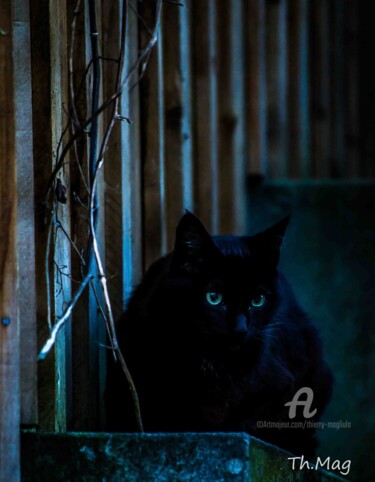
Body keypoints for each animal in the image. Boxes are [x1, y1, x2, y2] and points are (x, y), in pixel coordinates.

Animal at [107, 213, 334, 458]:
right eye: (213, 297)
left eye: (258, 300)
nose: (241, 328)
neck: (210, 359)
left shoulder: (283, 384)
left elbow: (250, 417)